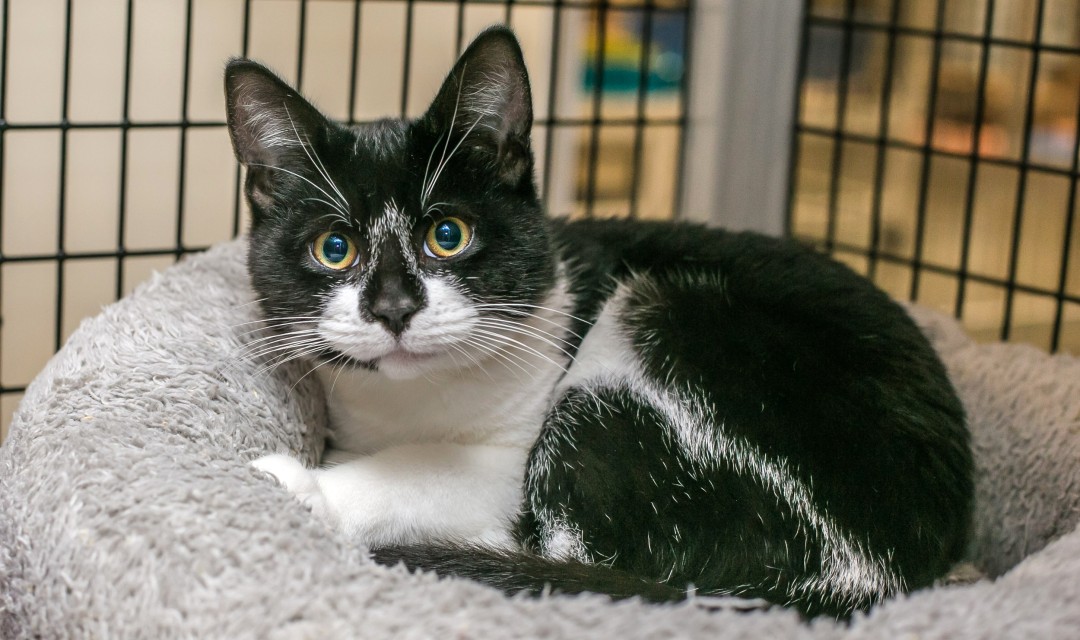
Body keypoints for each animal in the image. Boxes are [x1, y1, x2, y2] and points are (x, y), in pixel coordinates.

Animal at [223, 26, 976, 617]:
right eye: (334, 249)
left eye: (448, 235)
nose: (393, 308)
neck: (409, 403)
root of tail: (873, 581)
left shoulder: (510, 461)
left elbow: (442, 476)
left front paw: (303, 483)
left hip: (660, 333)